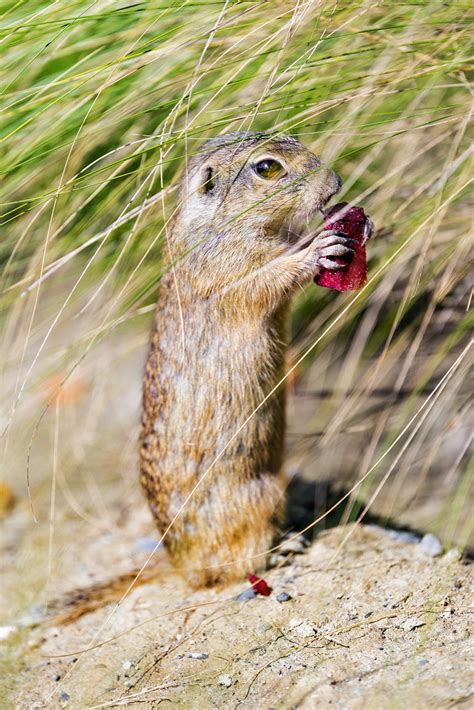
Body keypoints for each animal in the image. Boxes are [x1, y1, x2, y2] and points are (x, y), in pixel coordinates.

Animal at [141, 131, 356, 588]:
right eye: (267, 167)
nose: (336, 184)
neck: (219, 223)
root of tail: (183, 568)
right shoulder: (230, 270)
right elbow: (268, 280)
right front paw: (319, 248)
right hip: (264, 495)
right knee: (239, 566)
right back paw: (284, 548)